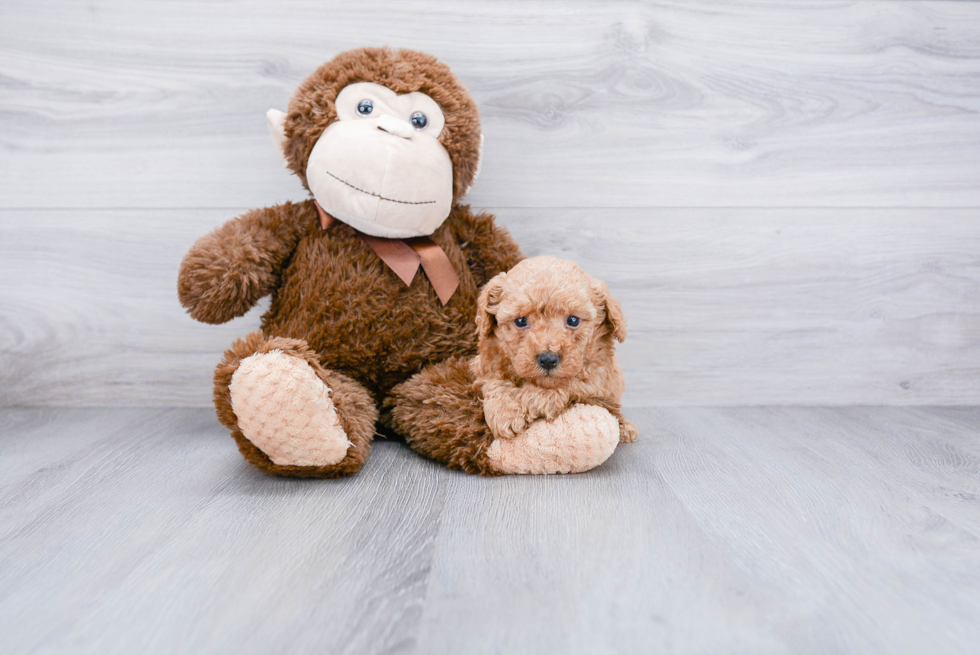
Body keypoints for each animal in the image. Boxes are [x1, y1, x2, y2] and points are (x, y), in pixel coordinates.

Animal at [472, 256, 640, 446]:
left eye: (573, 320)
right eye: (521, 321)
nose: (548, 359)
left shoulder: (597, 379)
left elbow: (565, 385)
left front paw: (528, 400)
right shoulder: (484, 367)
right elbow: (495, 382)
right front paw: (505, 412)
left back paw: (626, 429)